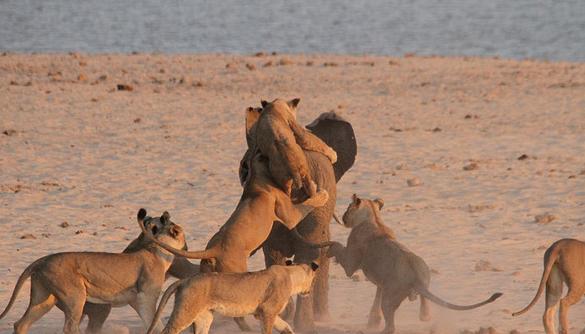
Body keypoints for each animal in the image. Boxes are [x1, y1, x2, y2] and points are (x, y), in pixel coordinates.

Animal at [0, 209, 185, 334]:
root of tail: (41, 260)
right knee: (70, 327)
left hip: (43, 298)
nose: (185, 246)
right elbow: (155, 324)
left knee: (21, 324)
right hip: (75, 296)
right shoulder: (145, 297)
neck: (156, 249)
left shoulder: (136, 300)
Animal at [146, 260, 320, 334]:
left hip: (204, 317)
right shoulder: (268, 311)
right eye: (314, 280)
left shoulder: (262, 313)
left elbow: (285, 326)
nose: (310, 292)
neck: (292, 275)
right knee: (168, 331)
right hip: (185, 312)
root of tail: (186, 279)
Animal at [326, 194, 500, 332]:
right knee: (425, 310)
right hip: (423, 276)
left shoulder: (350, 264)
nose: (342, 217)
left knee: (391, 326)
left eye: (348, 207)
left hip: (389, 299)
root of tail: (416, 278)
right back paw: (424, 314)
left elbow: (338, 247)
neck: (374, 218)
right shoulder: (381, 282)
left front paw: (327, 247)